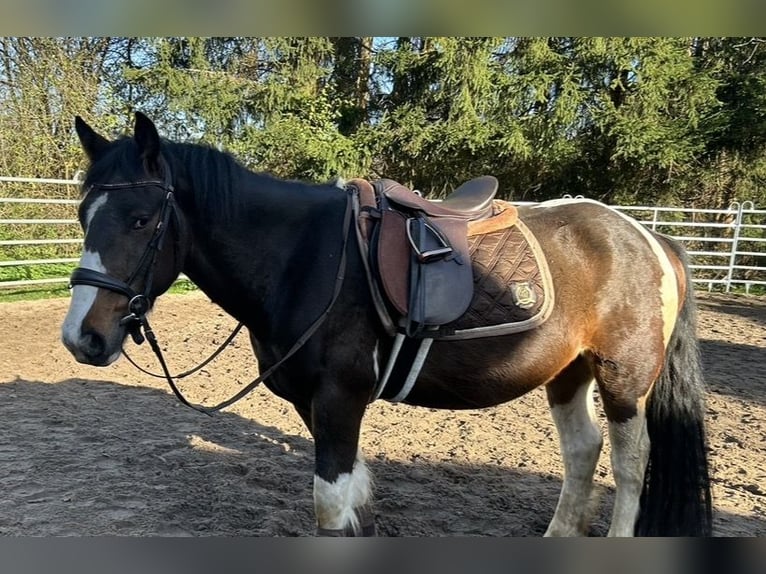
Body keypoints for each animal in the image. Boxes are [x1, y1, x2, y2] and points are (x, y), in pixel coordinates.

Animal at [61, 112, 712, 537]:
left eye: (141, 219)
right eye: (84, 214)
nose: (81, 338)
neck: (304, 257)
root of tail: (648, 237)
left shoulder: (340, 397)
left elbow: (329, 507)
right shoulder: (314, 404)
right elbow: (353, 504)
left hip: (622, 378)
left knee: (630, 465)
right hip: (567, 373)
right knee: (582, 452)